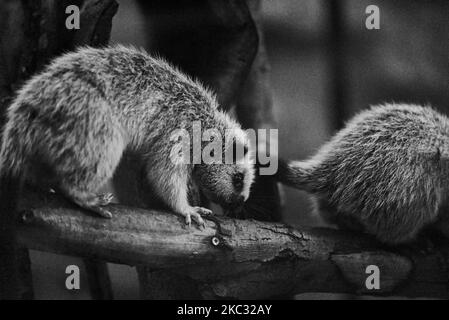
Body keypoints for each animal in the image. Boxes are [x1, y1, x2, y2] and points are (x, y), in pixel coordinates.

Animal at [0, 45, 254, 228]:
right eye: (238, 178)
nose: (241, 203)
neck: (205, 121)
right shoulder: (177, 136)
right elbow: (163, 175)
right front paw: (185, 208)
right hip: (97, 129)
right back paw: (84, 196)